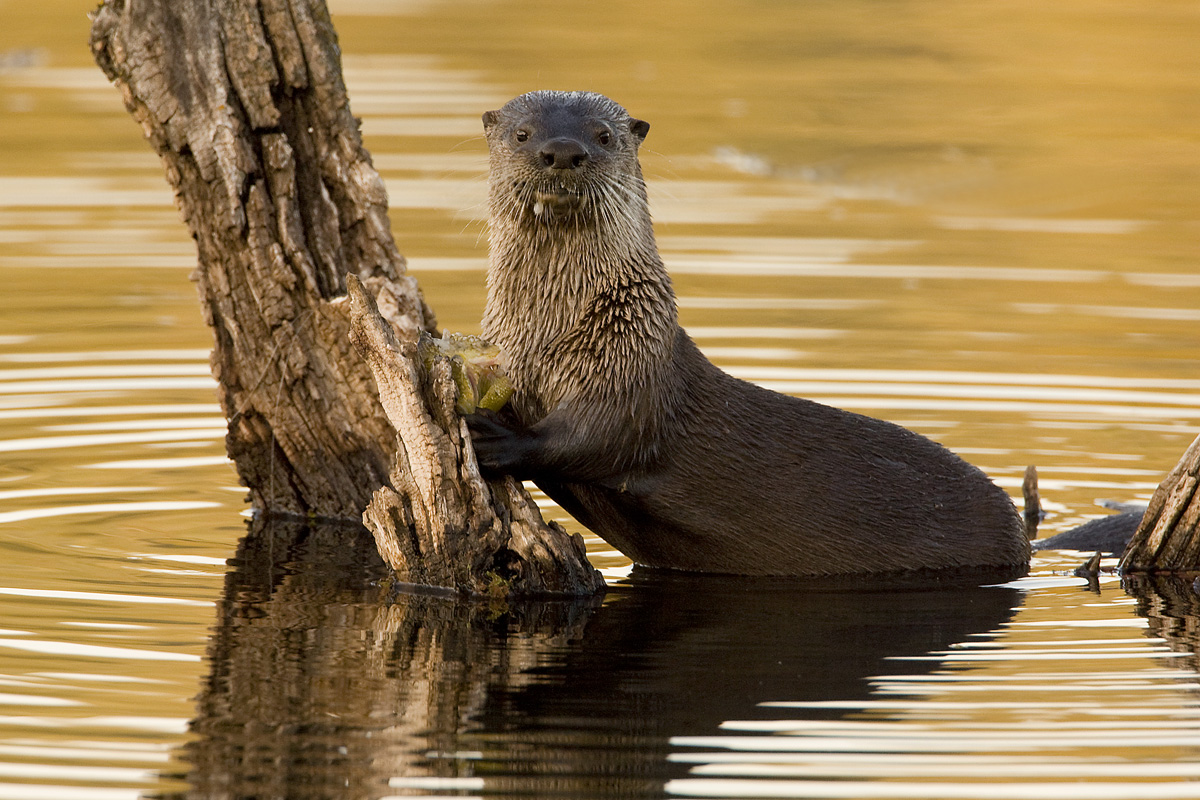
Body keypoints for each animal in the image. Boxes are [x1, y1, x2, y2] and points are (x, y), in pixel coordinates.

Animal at [468, 90, 1030, 576]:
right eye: (522, 133)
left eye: (603, 135)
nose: (562, 151)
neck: (552, 338)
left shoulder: (631, 368)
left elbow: (591, 436)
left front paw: (493, 435)